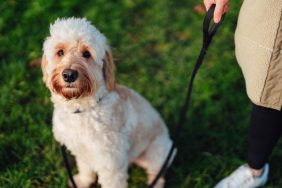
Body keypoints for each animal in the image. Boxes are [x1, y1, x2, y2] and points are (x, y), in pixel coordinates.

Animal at [41, 17, 175, 188]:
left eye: (86, 53)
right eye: (60, 52)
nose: (69, 75)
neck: (82, 109)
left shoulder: (110, 163)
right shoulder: (82, 151)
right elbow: (85, 168)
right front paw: (83, 181)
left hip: (157, 152)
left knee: (157, 173)